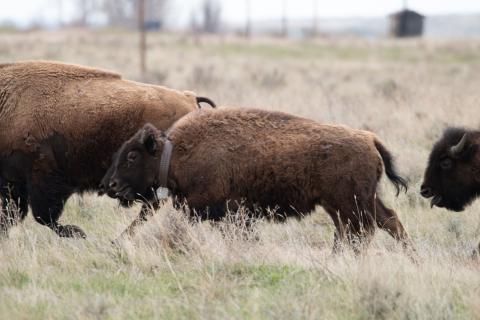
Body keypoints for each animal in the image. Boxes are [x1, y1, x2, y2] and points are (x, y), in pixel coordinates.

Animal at [0, 61, 215, 239]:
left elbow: (43, 216)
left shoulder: (41, 179)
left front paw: (79, 233)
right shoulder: (13, 185)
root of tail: (190, 98)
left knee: (152, 206)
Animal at [103, 108, 410, 252]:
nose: (111, 185)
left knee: (363, 232)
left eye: (132, 156)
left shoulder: (223, 210)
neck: (175, 151)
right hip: (351, 203)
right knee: (385, 222)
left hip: (351, 205)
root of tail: (369, 139)